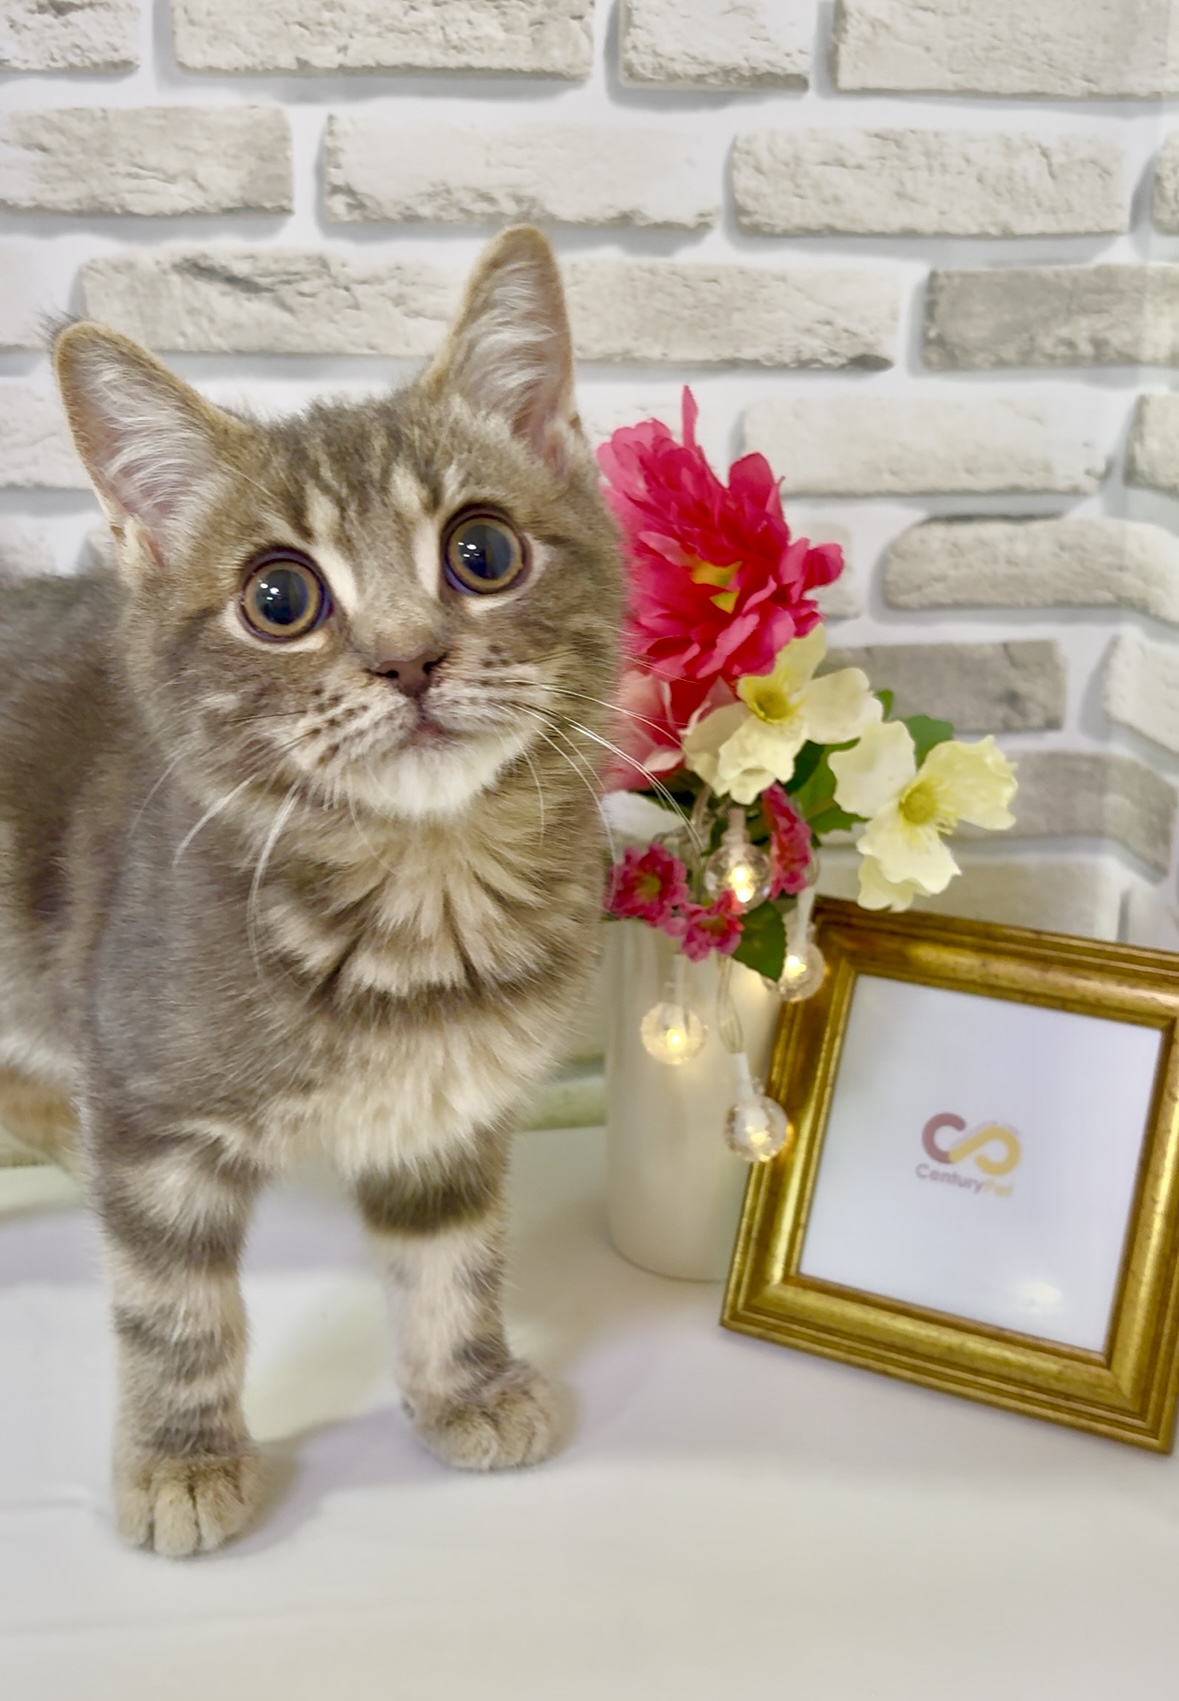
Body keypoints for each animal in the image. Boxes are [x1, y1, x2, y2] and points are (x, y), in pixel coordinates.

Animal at [0, 226, 622, 1556]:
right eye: (279, 598)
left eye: (483, 552)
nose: (409, 657)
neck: (423, 902)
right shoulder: (150, 1112)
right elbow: (174, 1306)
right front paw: (182, 1460)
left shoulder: (449, 1113)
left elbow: (451, 1256)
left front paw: (463, 1384)